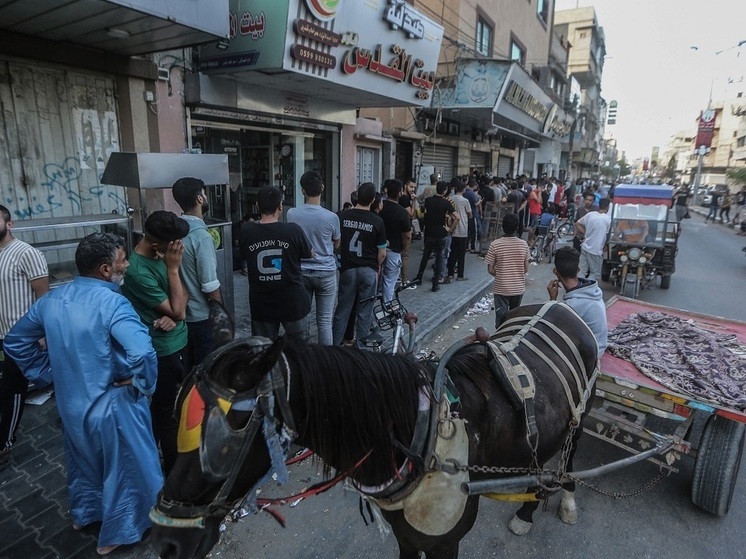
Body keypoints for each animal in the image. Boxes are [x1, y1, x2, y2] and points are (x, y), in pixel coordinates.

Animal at [151, 302, 600, 559]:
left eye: (228, 436)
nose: (166, 542)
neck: (421, 438)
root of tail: (563, 304)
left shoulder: (446, 541)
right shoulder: (407, 535)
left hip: (581, 415)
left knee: (569, 458)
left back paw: (560, 500)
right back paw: (528, 504)